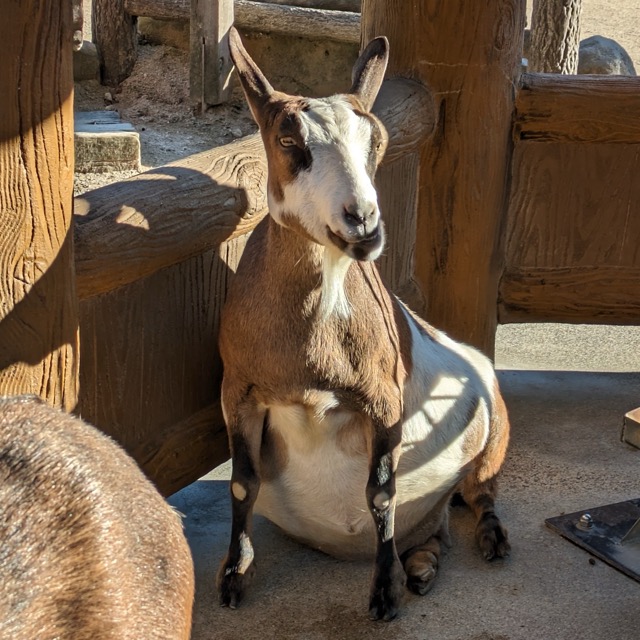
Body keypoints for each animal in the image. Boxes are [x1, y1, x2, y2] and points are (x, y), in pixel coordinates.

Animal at [219, 28, 510, 620]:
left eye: (376, 140)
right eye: (289, 141)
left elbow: (380, 493)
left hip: (493, 435)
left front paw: (383, 594)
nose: (364, 223)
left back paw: (485, 540)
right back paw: (422, 566)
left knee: (479, 492)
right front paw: (234, 577)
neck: (306, 357)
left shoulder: (383, 399)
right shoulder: (238, 390)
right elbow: (241, 483)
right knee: (439, 527)